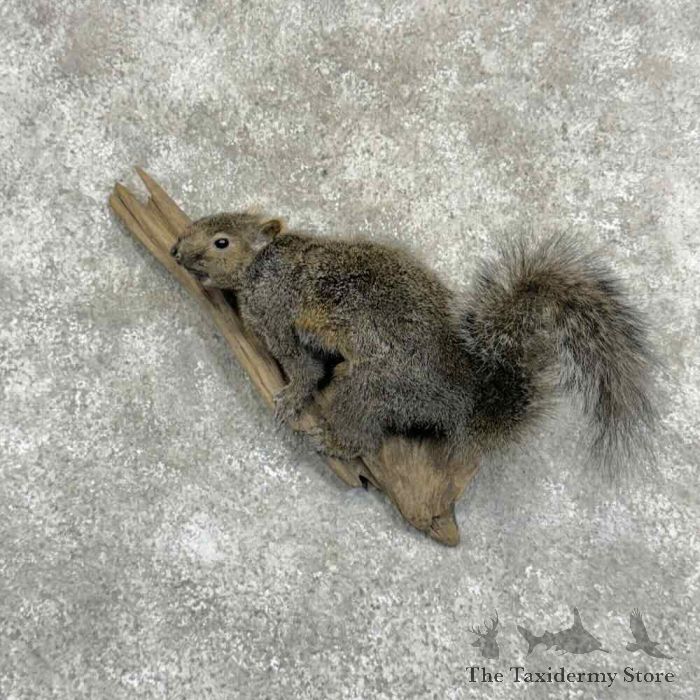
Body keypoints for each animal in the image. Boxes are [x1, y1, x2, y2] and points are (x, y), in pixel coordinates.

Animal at [170, 211, 654, 473]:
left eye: (221, 241)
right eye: (203, 221)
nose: (175, 250)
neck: (262, 267)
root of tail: (463, 395)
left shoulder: (278, 318)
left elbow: (306, 369)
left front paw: (290, 399)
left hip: (370, 389)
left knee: (364, 433)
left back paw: (336, 443)